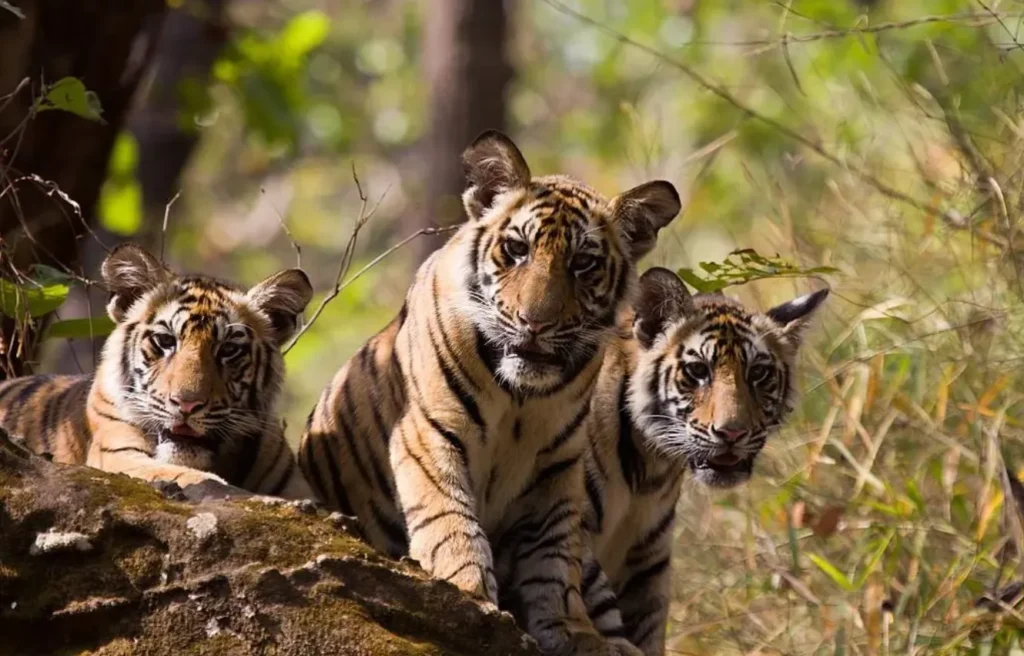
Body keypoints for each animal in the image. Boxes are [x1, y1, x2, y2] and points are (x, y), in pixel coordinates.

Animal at [299, 130, 681, 655]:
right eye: (517, 249)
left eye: (583, 263)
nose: (535, 323)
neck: (523, 399)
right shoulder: (429, 432)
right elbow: (449, 517)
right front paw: (468, 594)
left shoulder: (558, 464)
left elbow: (555, 556)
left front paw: (571, 630)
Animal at [580, 266, 829, 655]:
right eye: (698, 371)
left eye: (758, 373)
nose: (732, 432)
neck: (647, 464)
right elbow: (592, 594)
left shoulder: (646, 559)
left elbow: (648, 624)